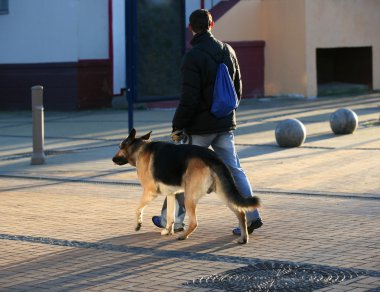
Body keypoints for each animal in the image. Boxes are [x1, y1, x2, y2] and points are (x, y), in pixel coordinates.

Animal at [113, 128, 260, 244]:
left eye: (120, 146)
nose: (113, 160)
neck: (139, 149)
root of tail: (212, 156)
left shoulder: (150, 192)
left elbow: (138, 209)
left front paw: (138, 224)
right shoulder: (171, 194)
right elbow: (170, 217)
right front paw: (168, 230)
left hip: (189, 197)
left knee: (195, 222)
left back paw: (183, 236)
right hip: (223, 193)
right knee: (241, 212)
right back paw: (244, 237)